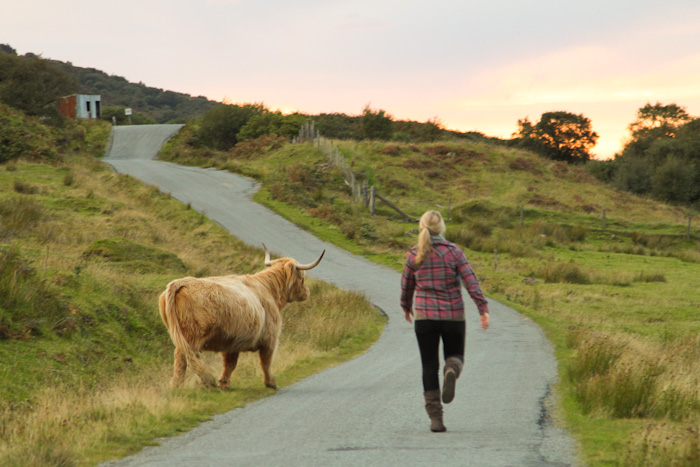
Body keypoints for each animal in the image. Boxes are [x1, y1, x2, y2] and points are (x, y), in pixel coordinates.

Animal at [159, 242, 325, 389]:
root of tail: (181, 282)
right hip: (193, 335)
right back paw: (186, 384)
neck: (270, 290)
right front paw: (271, 383)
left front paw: (224, 383)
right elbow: (266, 362)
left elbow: (230, 364)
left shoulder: (232, 341)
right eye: (302, 277)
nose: (307, 292)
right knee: (183, 356)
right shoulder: (270, 338)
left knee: (185, 357)